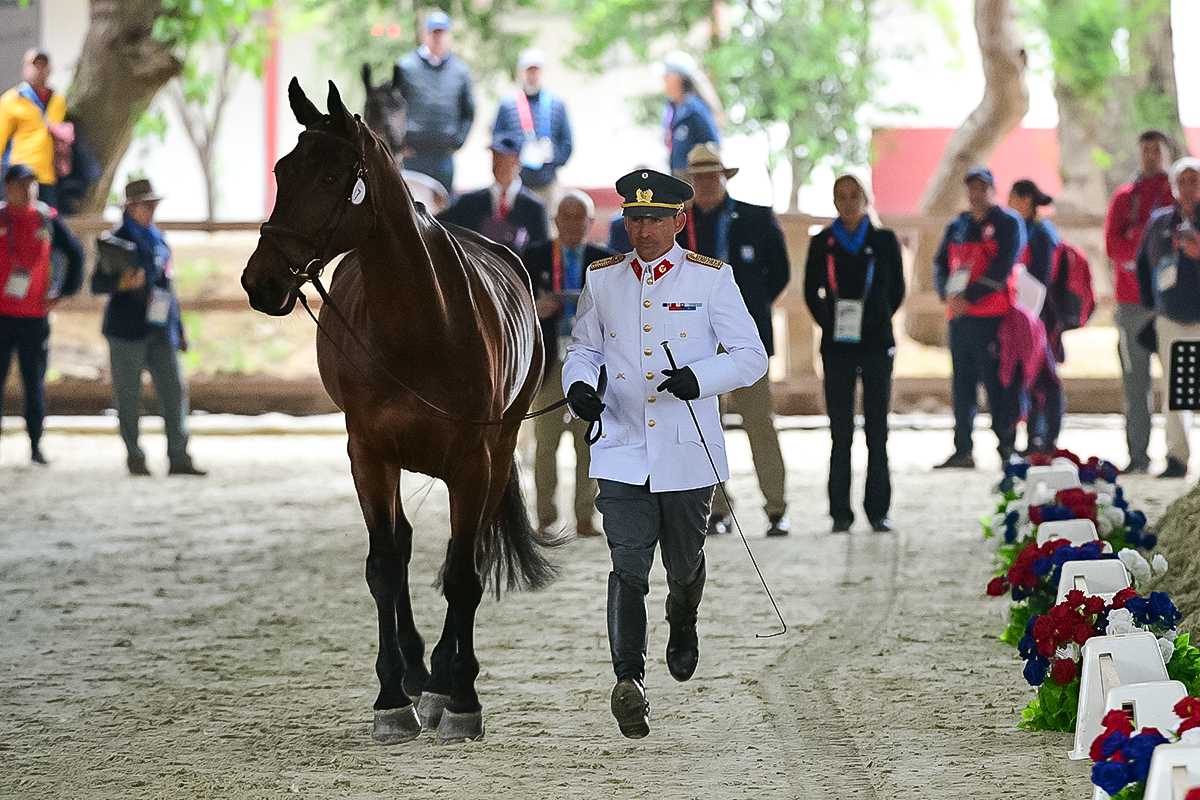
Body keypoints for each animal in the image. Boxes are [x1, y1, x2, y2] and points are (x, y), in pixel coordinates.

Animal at [241, 78, 556, 744]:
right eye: (281, 170)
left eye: (331, 175)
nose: (261, 281)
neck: (419, 327)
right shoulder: (369, 454)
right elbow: (385, 566)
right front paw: (391, 697)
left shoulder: (473, 461)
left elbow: (462, 573)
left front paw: (459, 696)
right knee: (404, 546)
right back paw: (416, 670)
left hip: (497, 451)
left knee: (471, 553)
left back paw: (442, 677)